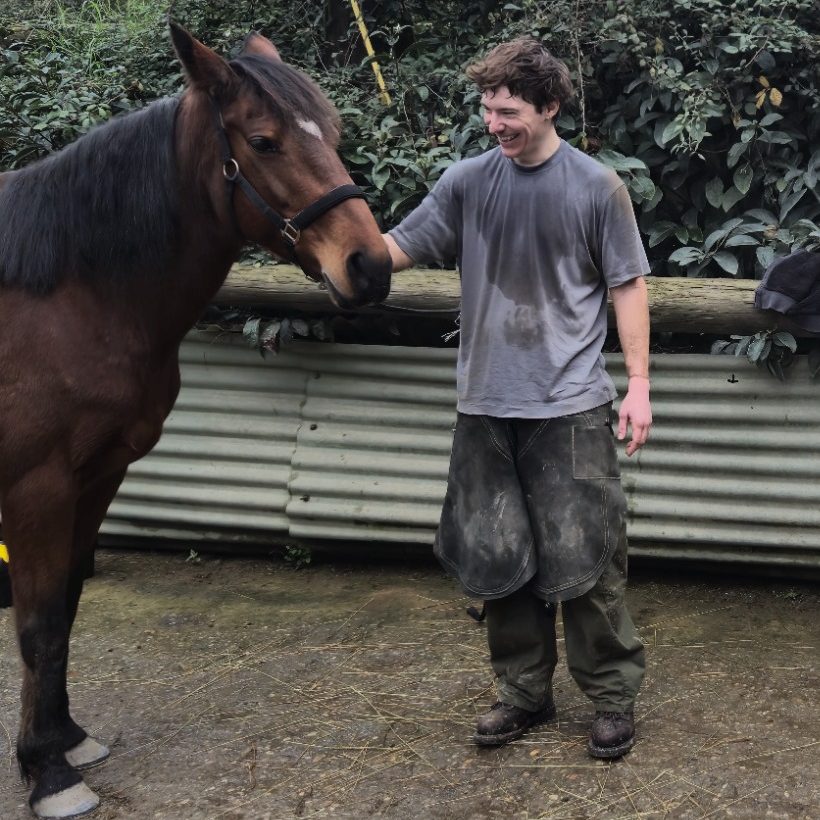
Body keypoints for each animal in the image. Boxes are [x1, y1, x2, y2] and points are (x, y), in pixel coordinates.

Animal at [0, 22, 391, 818]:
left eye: (334, 133)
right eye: (265, 141)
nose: (369, 266)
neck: (69, 296)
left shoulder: (98, 477)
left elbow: (69, 605)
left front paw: (66, 740)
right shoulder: (36, 490)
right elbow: (37, 624)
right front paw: (47, 773)